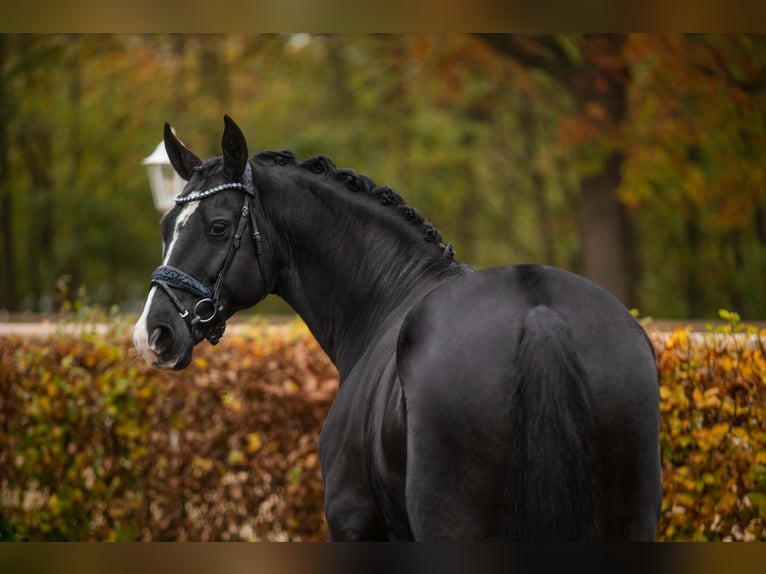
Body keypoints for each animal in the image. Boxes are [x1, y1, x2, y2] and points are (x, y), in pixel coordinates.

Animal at [135, 118, 664, 544]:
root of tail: (538, 315)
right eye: (165, 227)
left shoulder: (353, 523)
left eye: (219, 227)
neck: (388, 295)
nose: (152, 335)